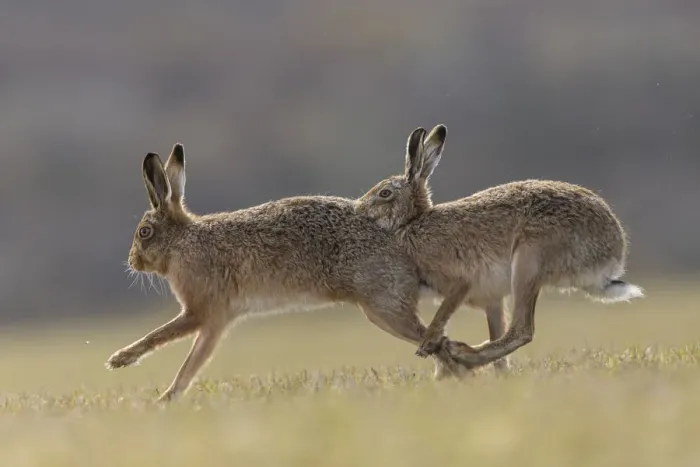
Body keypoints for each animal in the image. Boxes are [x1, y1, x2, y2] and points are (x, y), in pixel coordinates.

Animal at [106, 143, 472, 402]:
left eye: (144, 233)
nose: (132, 262)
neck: (182, 241)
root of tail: (401, 237)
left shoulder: (201, 310)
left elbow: (161, 338)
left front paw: (121, 361)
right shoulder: (217, 322)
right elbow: (193, 363)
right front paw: (168, 399)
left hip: (383, 308)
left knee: (439, 342)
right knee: (444, 343)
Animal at [355, 124, 644, 371]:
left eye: (384, 193)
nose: (359, 208)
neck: (413, 222)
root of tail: (612, 255)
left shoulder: (459, 279)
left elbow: (443, 311)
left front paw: (427, 344)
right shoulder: (490, 299)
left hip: (529, 259)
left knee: (522, 330)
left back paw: (464, 354)